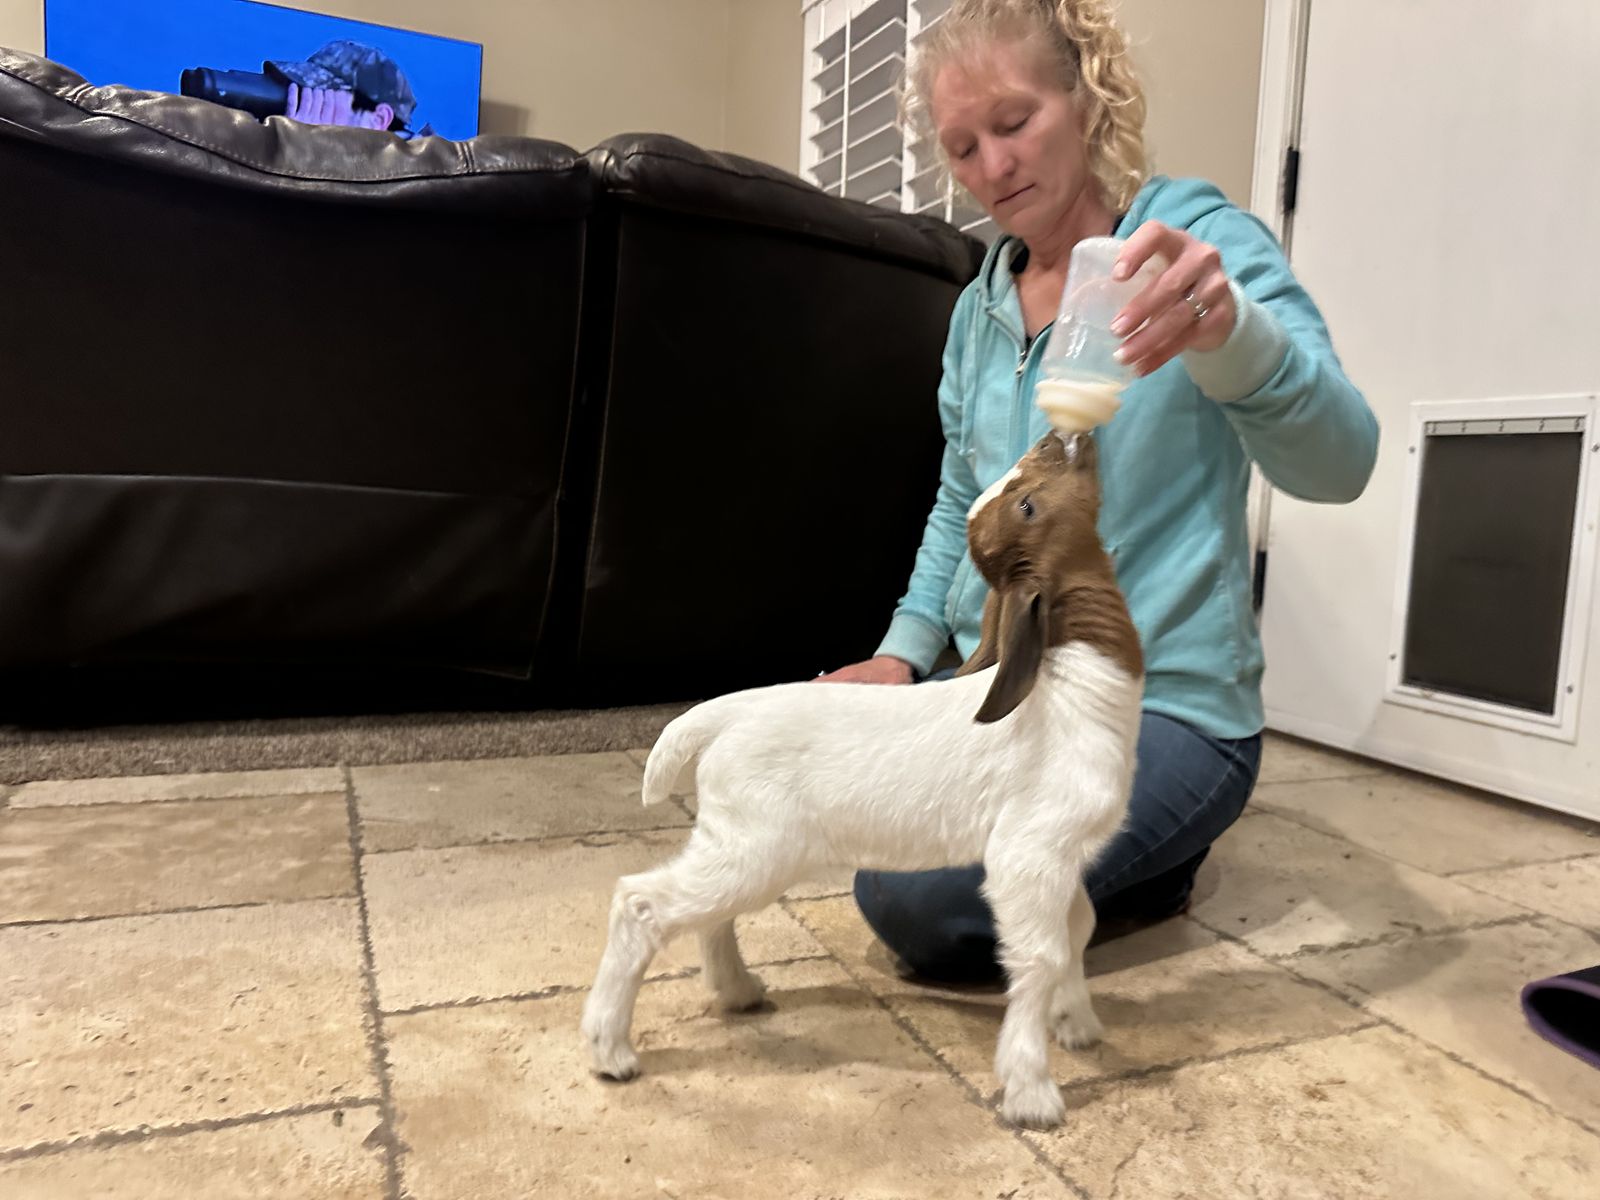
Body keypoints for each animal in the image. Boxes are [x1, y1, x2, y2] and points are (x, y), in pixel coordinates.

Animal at [580, 430, 1144, 1129]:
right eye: (1030, 507)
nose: (1060, 436)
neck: (1069, 685)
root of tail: (726, 713)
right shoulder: (1030, 854)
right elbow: (1038, 955)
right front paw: (1032, 1091)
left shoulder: (1065, 859)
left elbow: (1079, 929)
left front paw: (1079, 1024)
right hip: (754, 847)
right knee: (641, 903)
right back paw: (610, 1050)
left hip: (745, 846)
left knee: (709, 914)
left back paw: (738, 992)